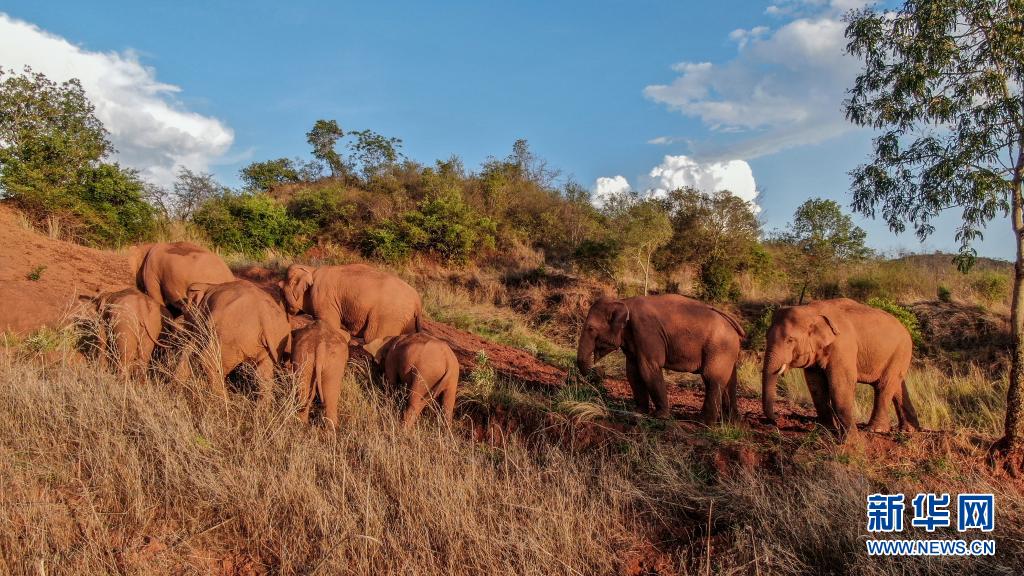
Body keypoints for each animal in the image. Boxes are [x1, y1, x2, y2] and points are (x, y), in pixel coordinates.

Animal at [278, 264, 421, 340]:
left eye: (282, 290)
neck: (311, 270)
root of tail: (418, 300)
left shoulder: (323, 297)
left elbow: (330, 325)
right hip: (407, 320)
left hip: (389, 315)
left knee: (373, 337)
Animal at [577, 293, 745, 424]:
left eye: (590, 328)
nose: (600, 370)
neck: (624, 301)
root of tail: (733, 323)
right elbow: (632, 371)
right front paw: (638, 411)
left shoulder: (646, 331)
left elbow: (648, 368)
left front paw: (660, 416)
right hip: (727, 351)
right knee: (730, 381)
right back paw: (732, 422)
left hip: (719, 348)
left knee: (711, 378)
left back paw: (702, 422)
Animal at [761, 295, 921, 434]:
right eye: (766, 336)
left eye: (790, 340)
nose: (775, 419)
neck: (811, 310)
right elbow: (816, 384)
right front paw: (825, 429)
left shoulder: (843, 346)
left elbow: (840, 382)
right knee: (897, 386)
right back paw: (909, 430)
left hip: (900, 352)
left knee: (884, 385)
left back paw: (876, 430)